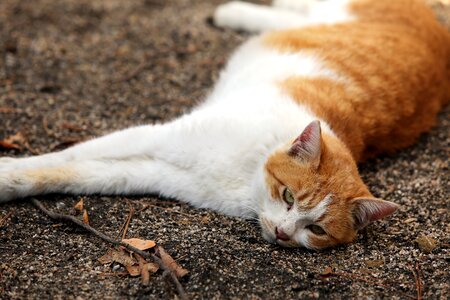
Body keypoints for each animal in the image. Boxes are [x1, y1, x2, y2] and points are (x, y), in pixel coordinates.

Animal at [0, 0, 450, 248]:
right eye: (288, 196)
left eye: (317, 230)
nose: (284, 234)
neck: (244, 179)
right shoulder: (159, 137)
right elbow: (66, 157)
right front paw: (8, 174)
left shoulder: (153, 170)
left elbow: (70, 172)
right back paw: (231, 11)